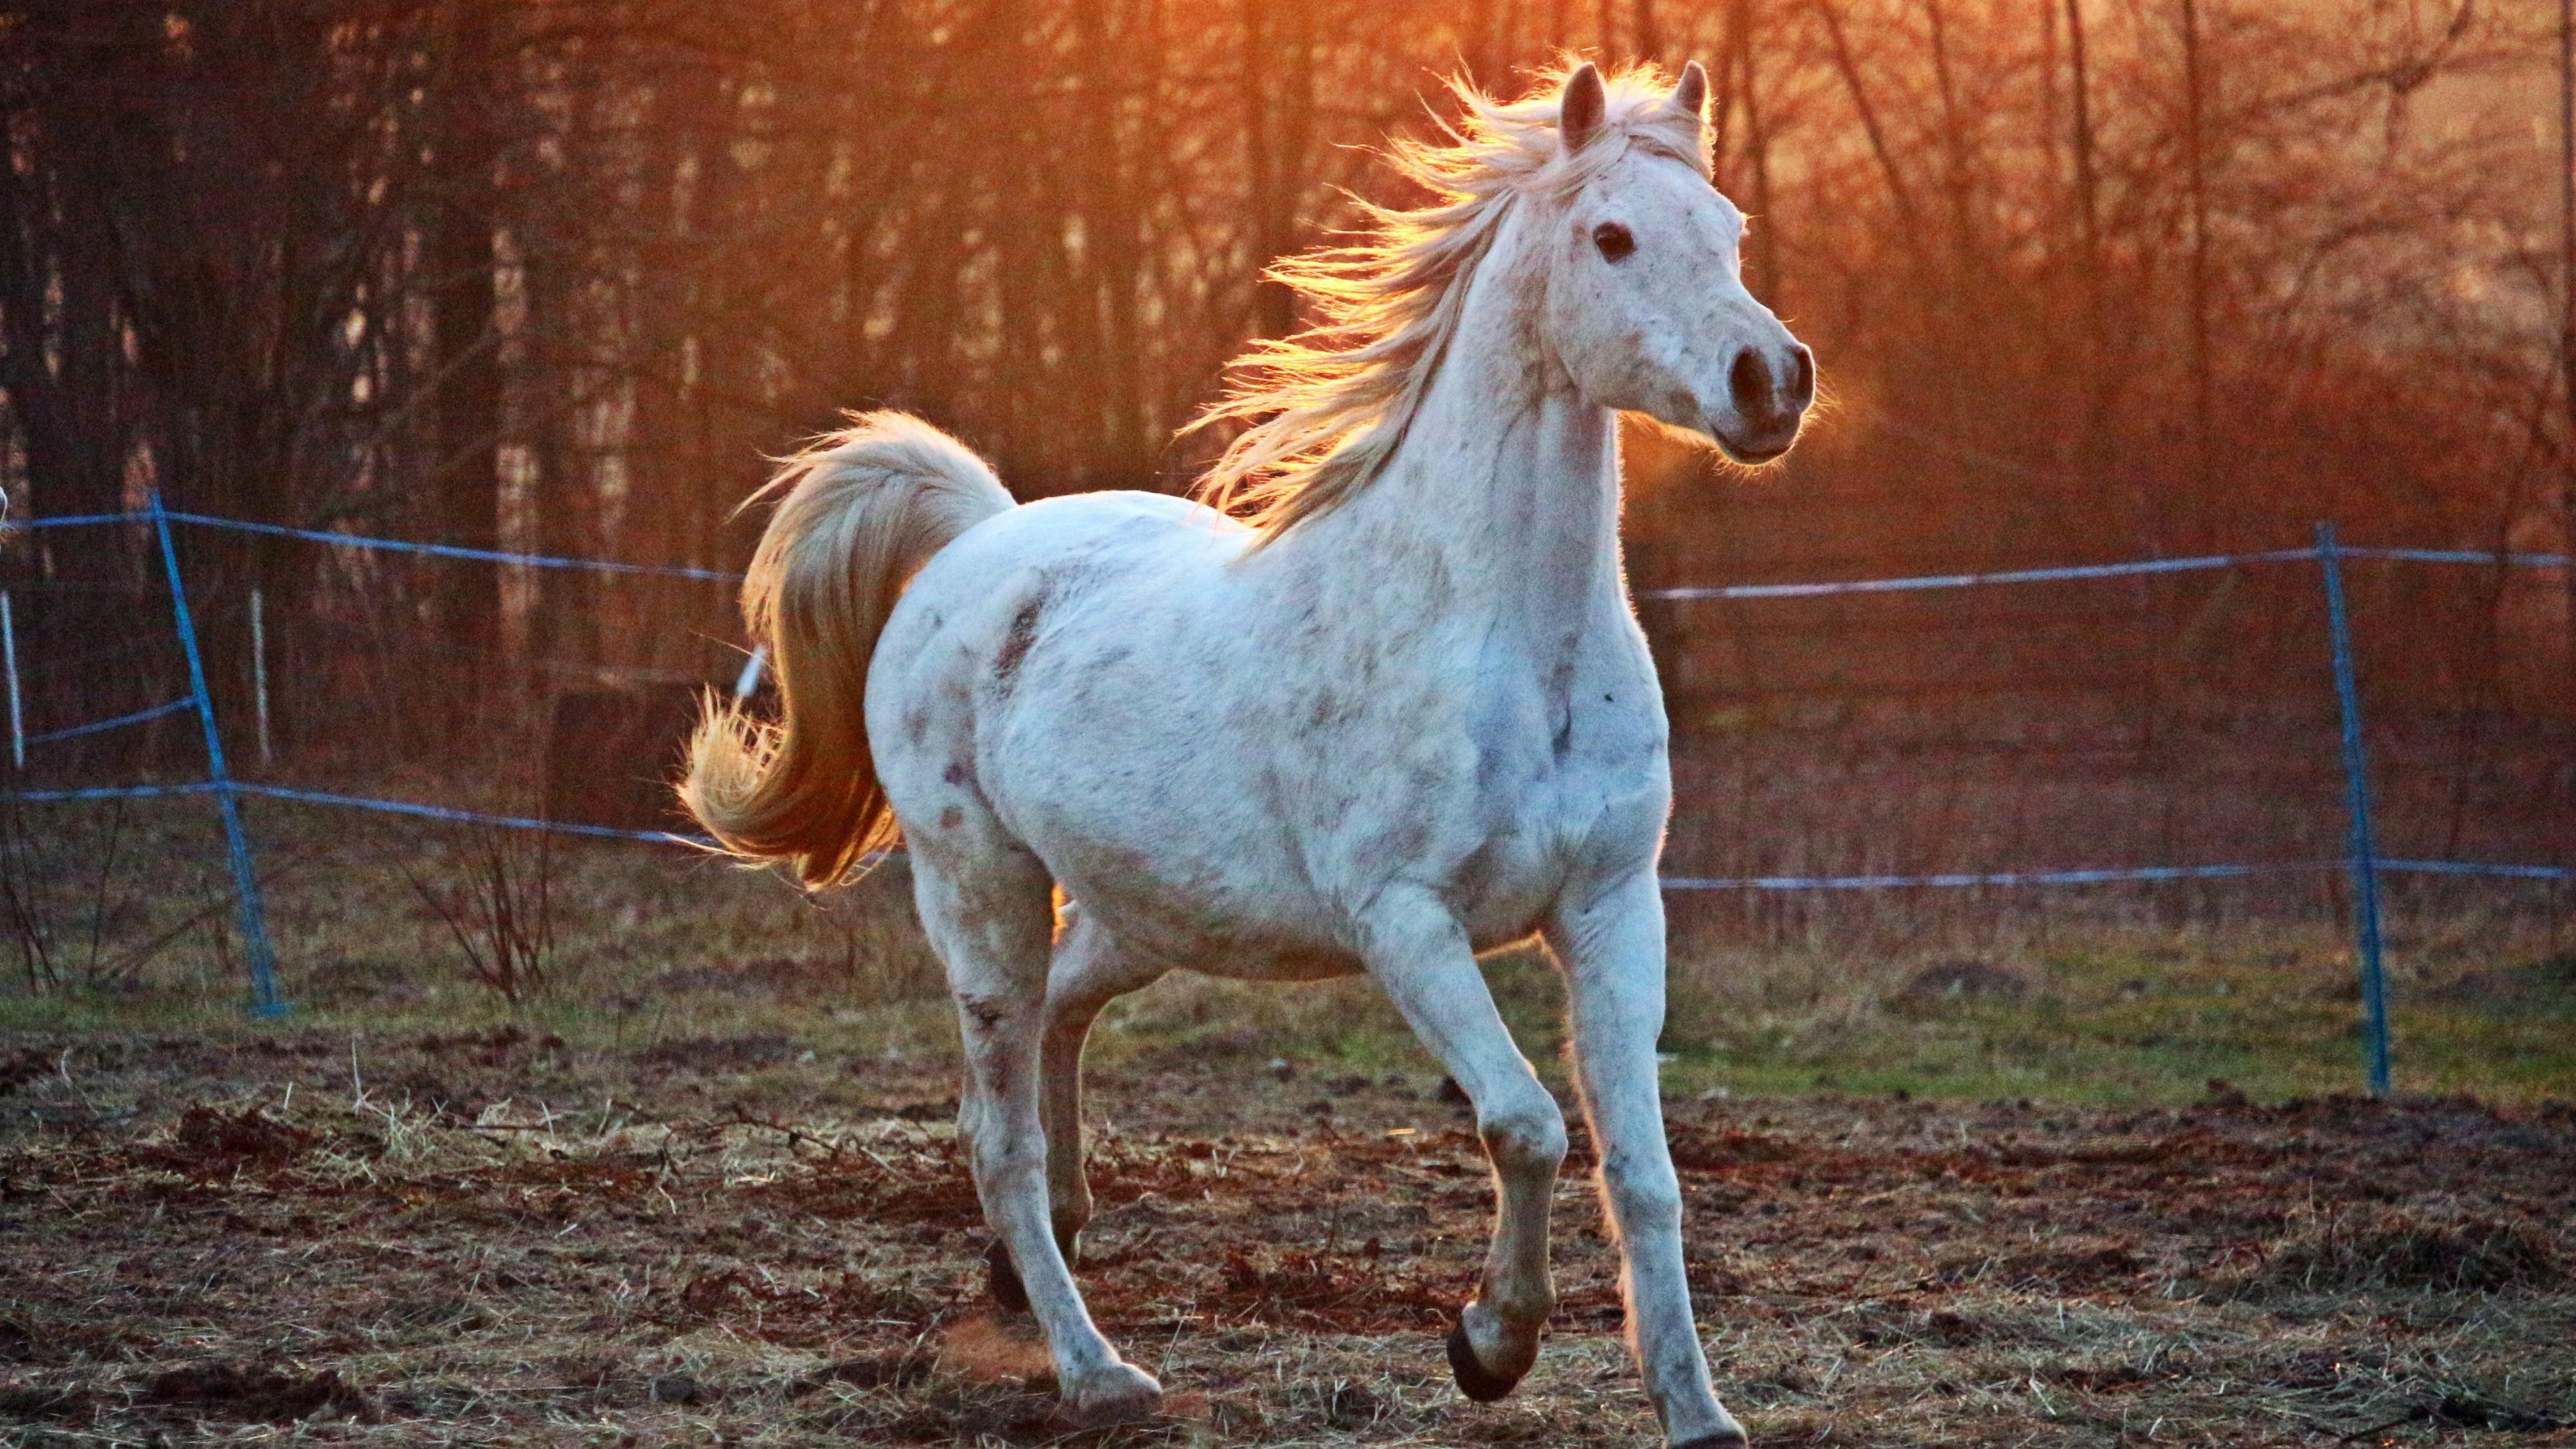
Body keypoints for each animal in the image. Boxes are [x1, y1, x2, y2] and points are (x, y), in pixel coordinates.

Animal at [683, 60, 1812, 1447]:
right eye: (1612, 238)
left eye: (1731, 232)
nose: (1771, 382)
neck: (1498, 632)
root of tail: (980, 539)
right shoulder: (1405, 920)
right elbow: (1528, 1125)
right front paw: (1488, 1345)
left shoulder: (1610, 906)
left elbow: (1644, 1172)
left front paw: (1697, 1412)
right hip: (981, 893)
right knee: (996, 1132)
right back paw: (1096, 1369)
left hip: (1147, 911)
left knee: (1058, 1026)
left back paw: (1037, 1259)